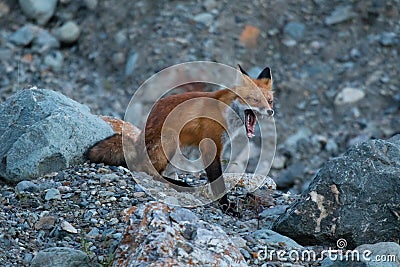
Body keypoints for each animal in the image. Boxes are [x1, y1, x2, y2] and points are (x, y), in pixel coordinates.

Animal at [87, 66, 274, 215]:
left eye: (270, 101)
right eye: (254, 99)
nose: (270, 111)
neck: (225, 111)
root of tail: (137, 142)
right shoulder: (211, 146)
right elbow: (218, 182)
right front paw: (226, 206)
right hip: (170, 139)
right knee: (147, 170)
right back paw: (178, 183)